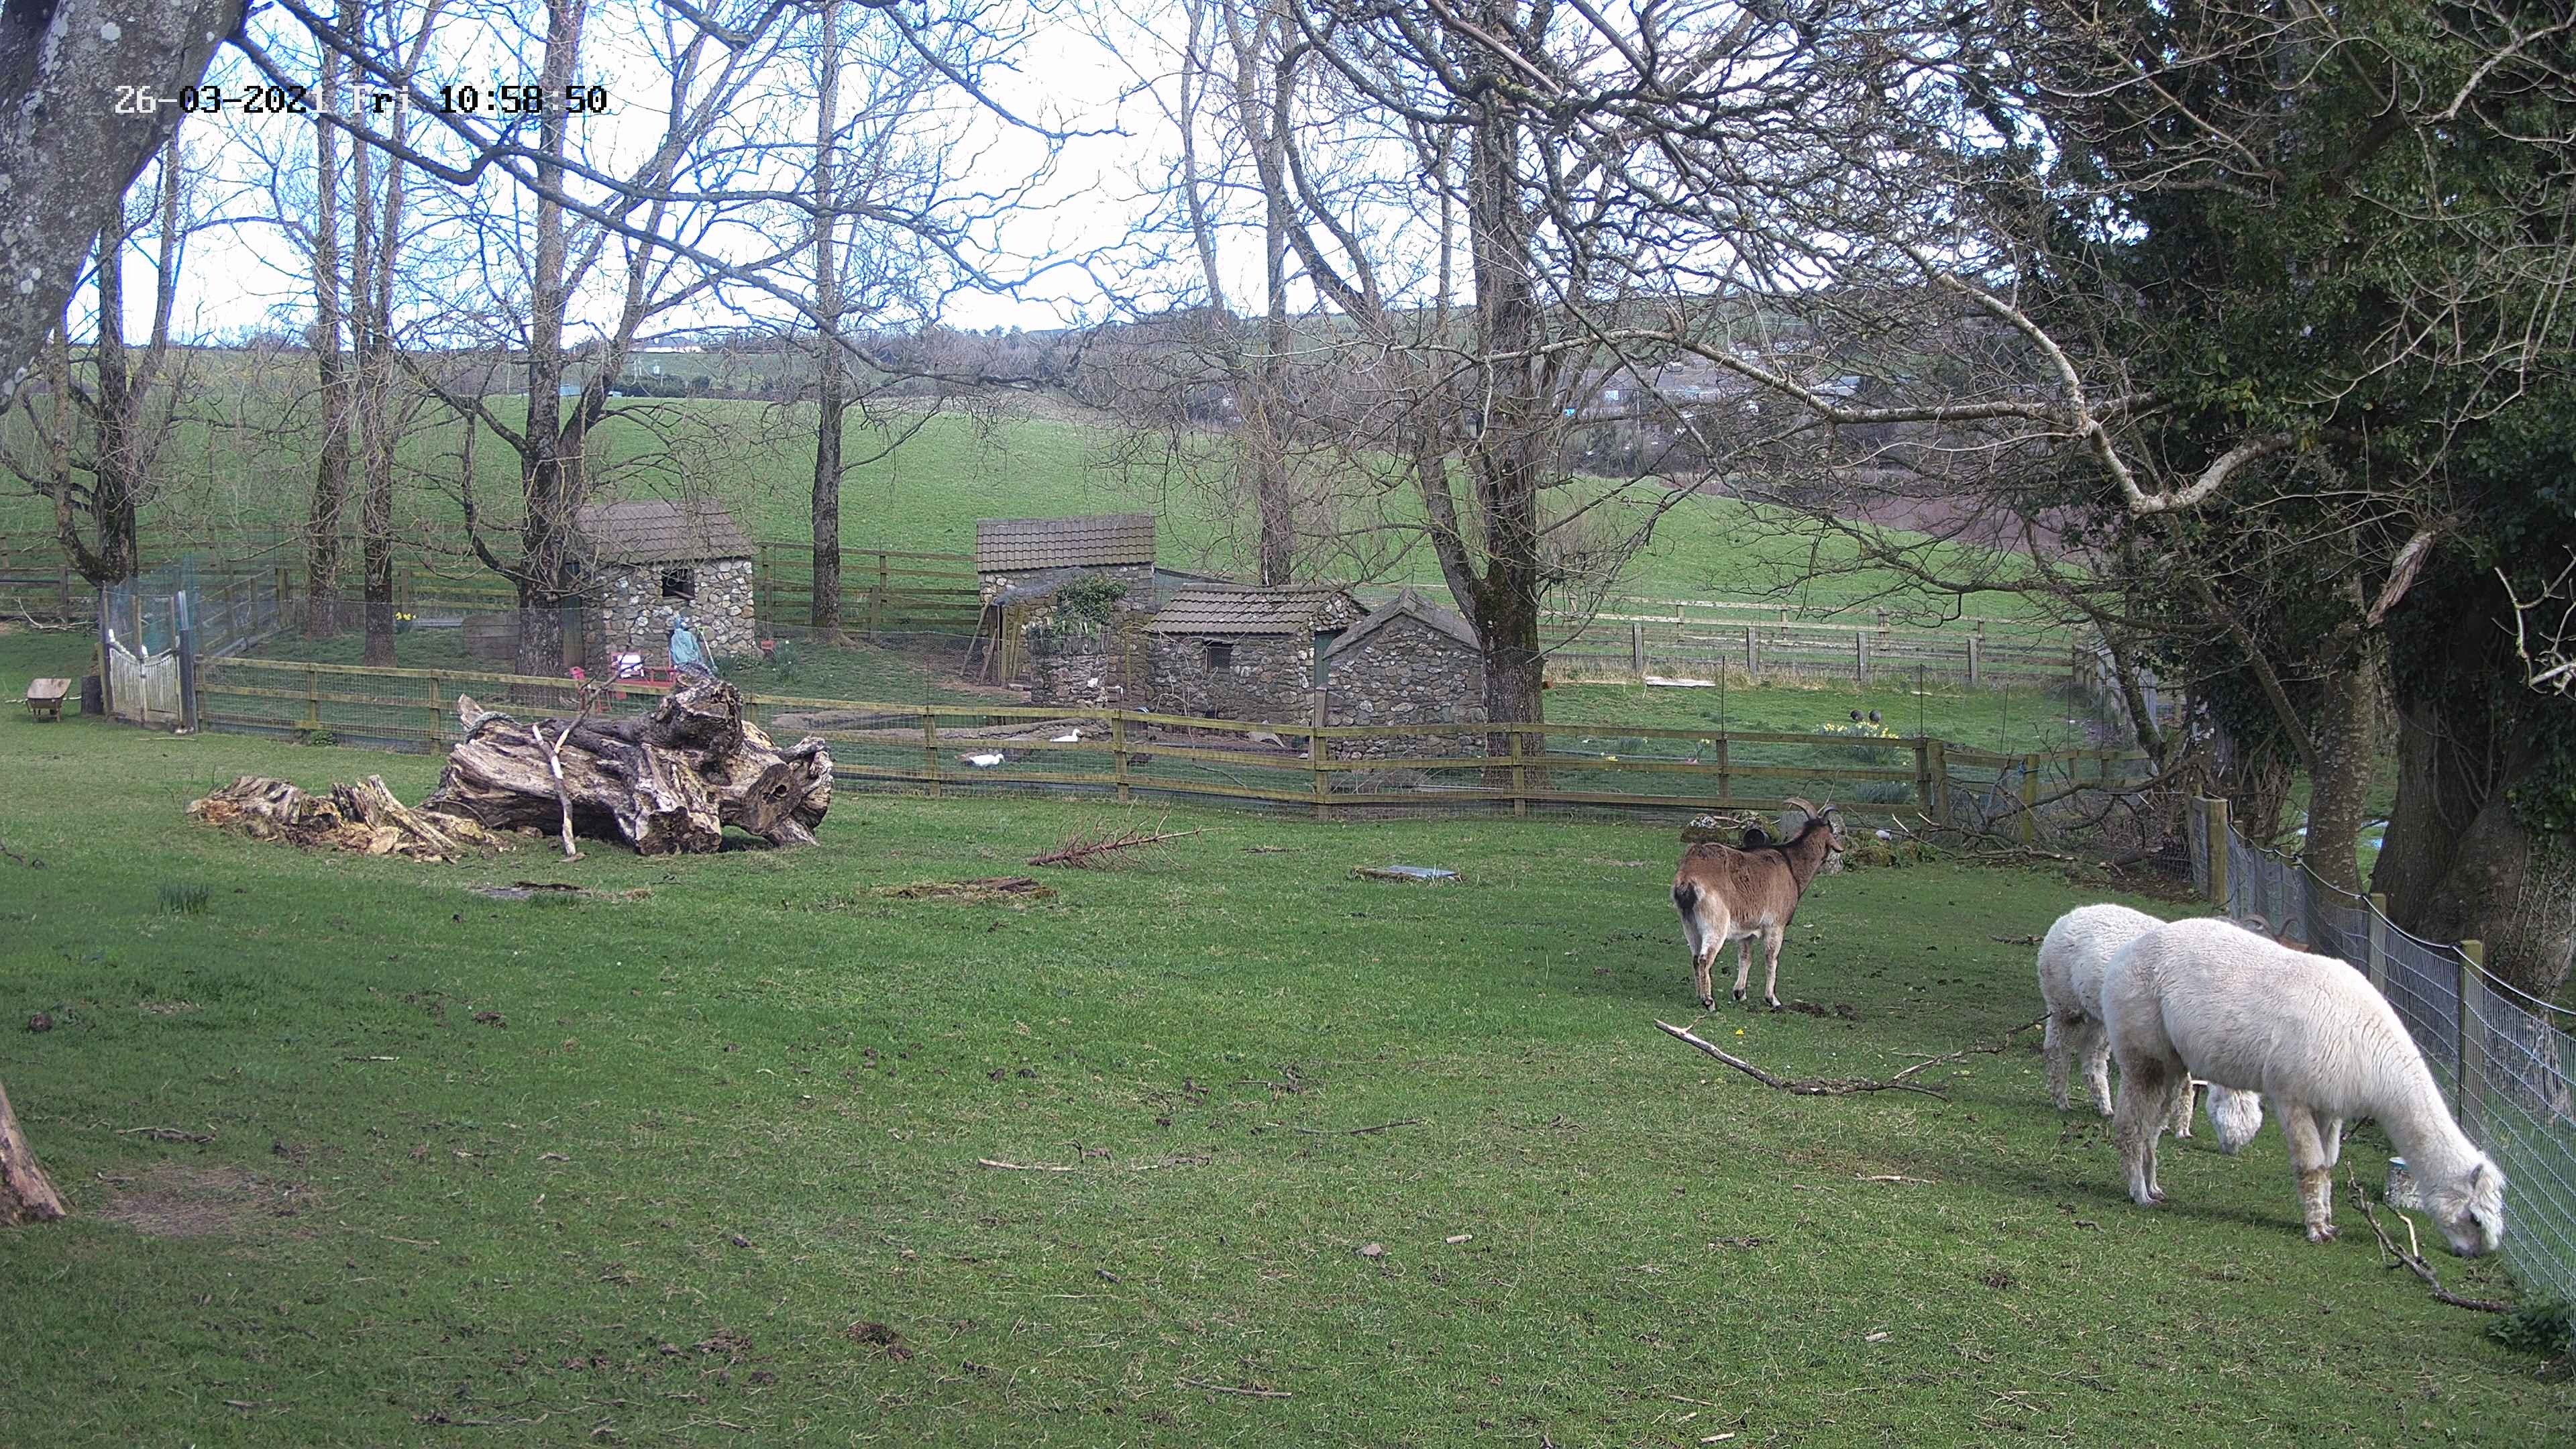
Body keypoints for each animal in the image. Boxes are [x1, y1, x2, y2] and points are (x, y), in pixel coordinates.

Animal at [1672, 798, 1847, 1011]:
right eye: (1832, 828)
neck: (1790, 866)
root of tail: (1688, 879)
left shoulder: (1746, 931)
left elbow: (1745, 958)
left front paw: (1740, 993)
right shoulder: (1775, 926)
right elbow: (1771, 959)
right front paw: (1773, 999)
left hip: (1689, 922)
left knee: (1696, 958)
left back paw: (1700, 995)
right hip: (1716, 923)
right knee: (1705, 958)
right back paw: (1709, 1001)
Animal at [2036, 904, 2267, 1148]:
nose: (2232, 1147)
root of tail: (2068, 916)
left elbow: (2185, 1087)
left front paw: (2182, 1129)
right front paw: (2170, 1126)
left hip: (2099, 1013)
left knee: (2093, 1059)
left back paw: (2105, 1108)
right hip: (2064, 1001)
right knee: (2056, 1049)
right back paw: (2061, 1100)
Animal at [2101, 916, 2505, 1254]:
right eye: (2475, 1218)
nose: (2478, 1252)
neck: (2368, 1048)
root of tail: (2125, 953)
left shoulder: (2328, 1103)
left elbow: (2328, 1165)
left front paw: (2328, 1223)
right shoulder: (2291, 1094)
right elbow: (2311, 1165)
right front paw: (2317, 1231)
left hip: (2171, 1059)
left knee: (2153, 1128)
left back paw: (2154, 1188)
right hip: (2142, 1049)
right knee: (2130, 1125)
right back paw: (2139, 1194)